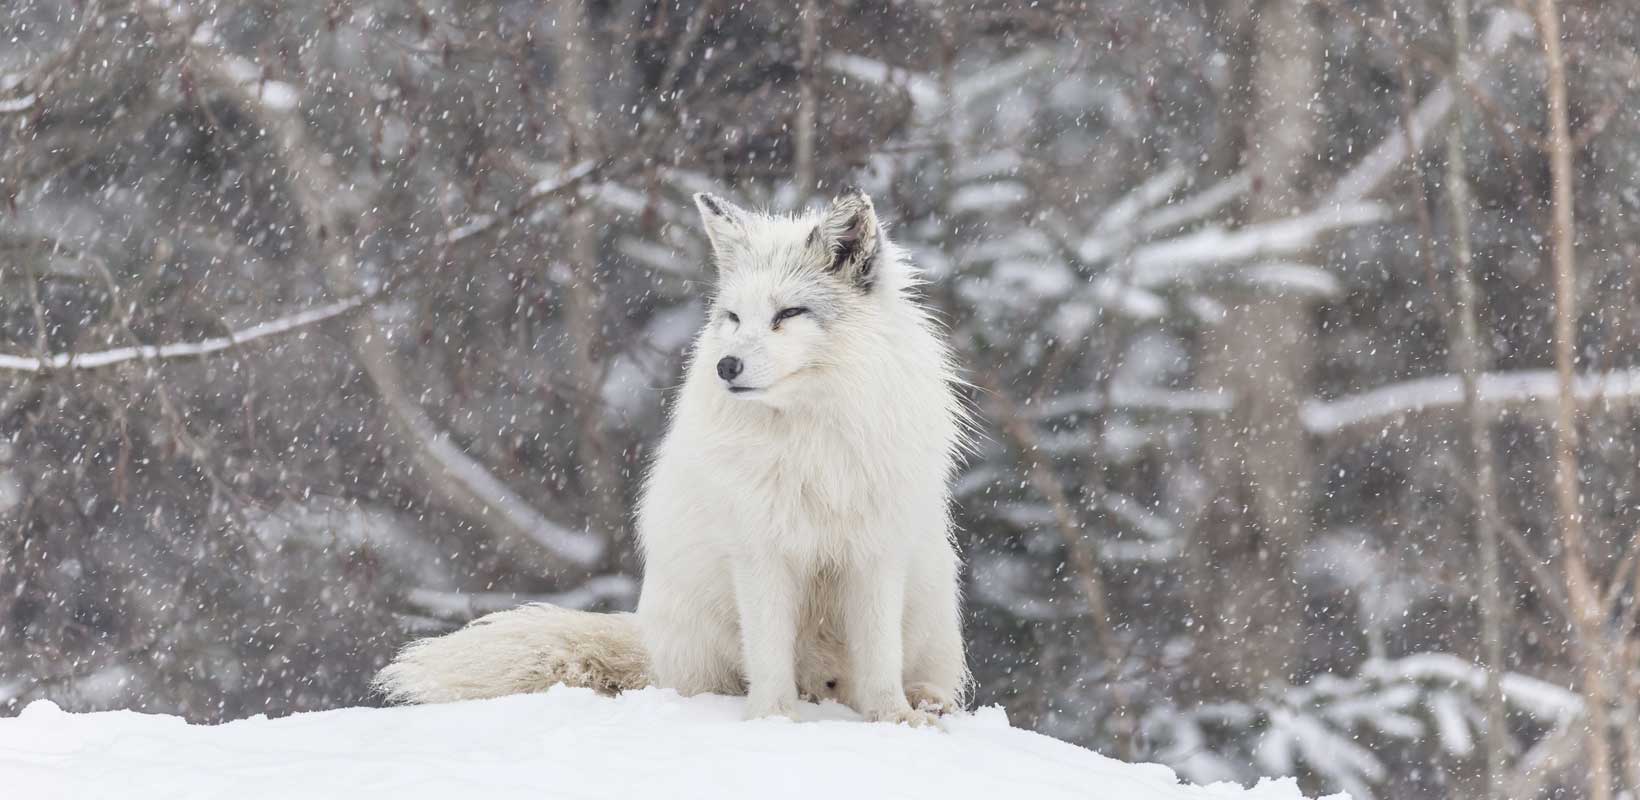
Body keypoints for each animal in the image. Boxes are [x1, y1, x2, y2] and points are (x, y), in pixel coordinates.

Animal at [380, 187, 970, 724]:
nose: (726, 366)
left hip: (932, 602)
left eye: (788, 313)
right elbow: (769, 660)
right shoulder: (759, 551)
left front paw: (893, 718)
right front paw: (773, 721)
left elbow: (880, 659)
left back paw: (926, 701)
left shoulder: (875, 552)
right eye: (732, 317)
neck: (810, 439)